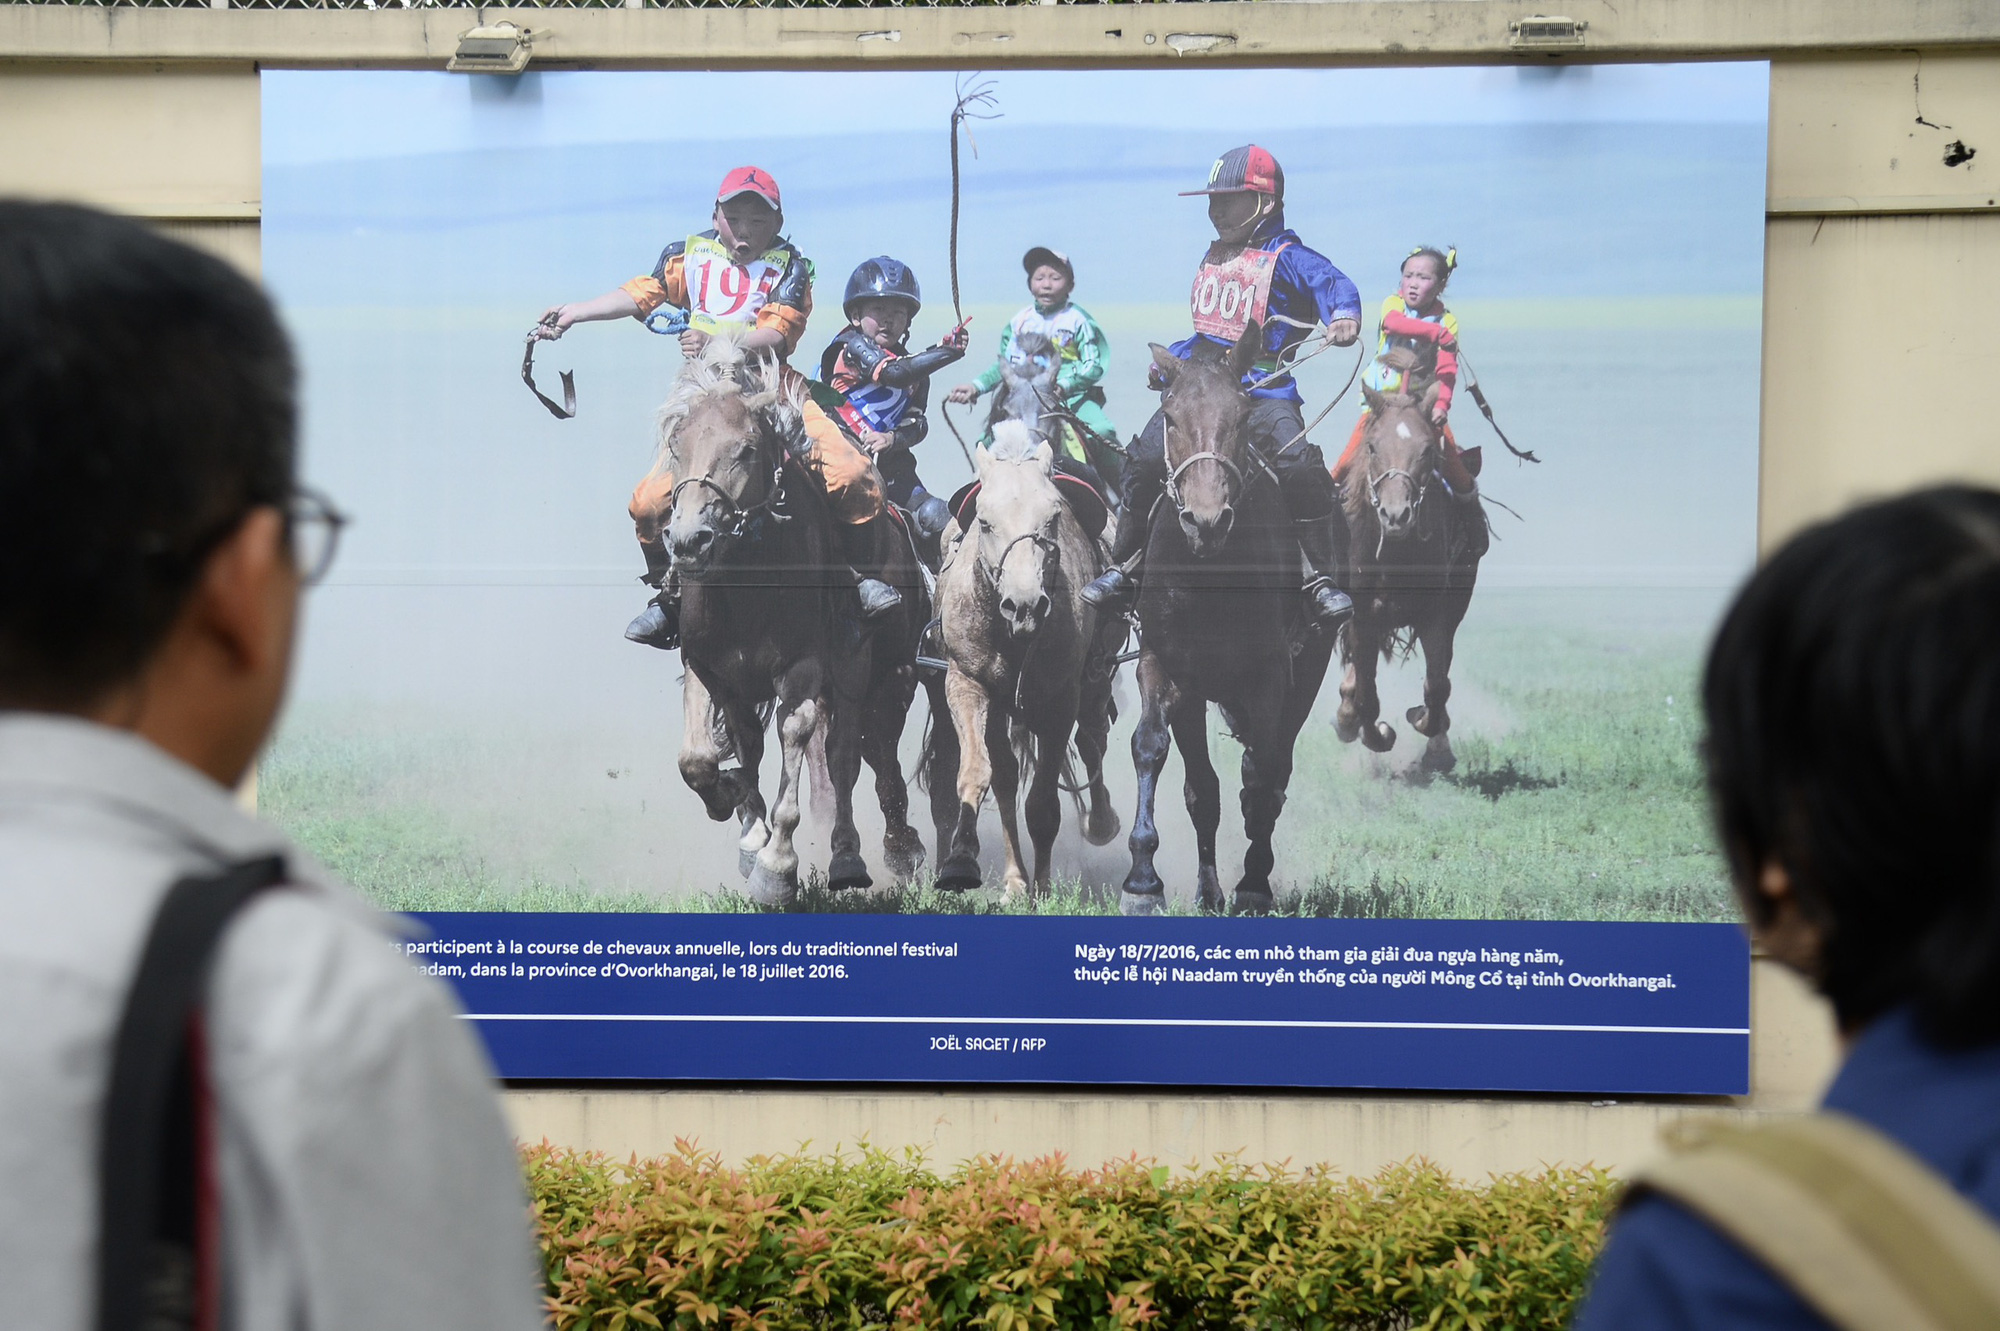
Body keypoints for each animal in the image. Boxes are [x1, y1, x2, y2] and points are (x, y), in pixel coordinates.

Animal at [656, 337, 936, 907]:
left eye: (745, 449)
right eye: (677, 445)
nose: (690, 540)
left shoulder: (803, 669)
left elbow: (796, 737)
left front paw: (776, 868)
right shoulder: (708, 666)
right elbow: (702, 757)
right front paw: (739, 814)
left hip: (876, 675)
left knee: (852, 756)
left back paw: (862, 854)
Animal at [928, 421, 1120, 903]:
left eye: (1051, 518)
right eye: (985, 521)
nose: (1025, 605)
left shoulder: (1060, 702)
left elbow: (1043, 803)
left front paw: (1045, 887)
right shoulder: (967, 685)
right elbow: (979, 774)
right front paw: (963, 861)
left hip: (1095, 681)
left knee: (1093, 739)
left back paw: (1101, 822)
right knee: (1007, 777)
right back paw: (1015, 879)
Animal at [1120, 329, 1336, 911]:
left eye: (1241, 416)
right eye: (1170, 417)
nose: (1206, 520)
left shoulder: (1269, 678)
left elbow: (1260, 775)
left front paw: (1254, 885)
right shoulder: (1167, 667)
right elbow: (1158, 754)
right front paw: (1144, 882)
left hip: (1307, 674)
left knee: (1273, 775)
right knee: (1212, 789)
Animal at [1336, 367, 1496, 771]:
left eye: (1427, 450)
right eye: (1372, 446)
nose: (1396, 515)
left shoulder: (1437, 613)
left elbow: (1437, 685)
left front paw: (1425, 724)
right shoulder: (1363, 612)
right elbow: (1367, 692)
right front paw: (1375, 733)